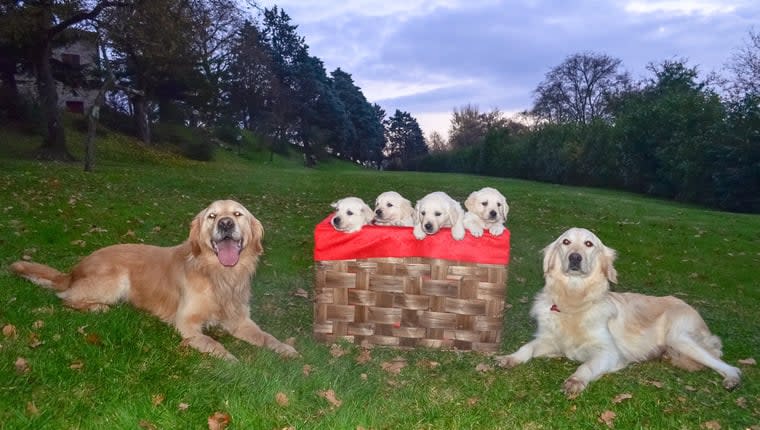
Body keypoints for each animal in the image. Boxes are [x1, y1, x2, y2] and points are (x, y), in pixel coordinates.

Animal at [10, 200, 300, 362]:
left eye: (238, 214)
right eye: (212, 216)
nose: (226, 224)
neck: (220, 275)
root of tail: (75, 268)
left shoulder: (240, 321)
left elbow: (267, 337)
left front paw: (287, 349)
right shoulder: (187, 324)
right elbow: (212, 342)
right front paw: (231, 359)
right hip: (116, 280)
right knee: (66, 298)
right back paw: (96, 307)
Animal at [496, 228, 740, 396]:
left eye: (589, 244)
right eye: (566, 242)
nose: (575, 257)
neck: (575, 300)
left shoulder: (609, 352)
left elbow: (586, 365)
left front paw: (576, 380)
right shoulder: (550, 340)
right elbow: (527, 347)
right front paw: (510, 358)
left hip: (679, 336)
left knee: (731, 367)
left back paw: (732, 379)